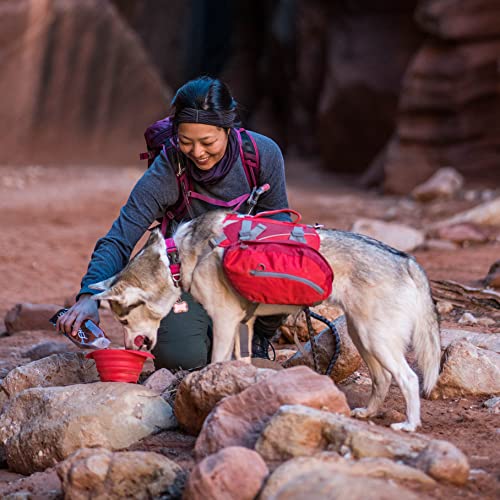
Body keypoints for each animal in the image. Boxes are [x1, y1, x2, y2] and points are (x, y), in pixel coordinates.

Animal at [91, 209, 442, 432]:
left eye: (124, 320)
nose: (129, 347)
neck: (176, 259)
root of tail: (406, 259)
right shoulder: (241, 325)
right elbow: (240, 364)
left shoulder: (224, 320)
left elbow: (215, 362)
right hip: (362, 335)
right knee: (382, 379)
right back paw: (368, 412)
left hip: (374, 337)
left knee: (408, 378)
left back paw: (410, 424)